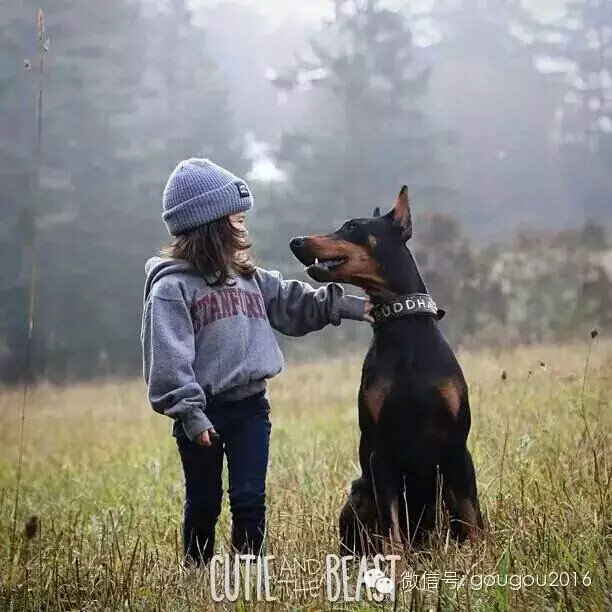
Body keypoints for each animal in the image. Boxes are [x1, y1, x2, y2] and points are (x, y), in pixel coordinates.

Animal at [290, 186, 486, 556]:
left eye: (352, 226)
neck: (402, 329)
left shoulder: (457, 444)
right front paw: (397, 567)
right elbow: (391, 529)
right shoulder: (379, 450)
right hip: (359, 491)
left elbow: (473, 520)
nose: (296, 241)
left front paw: (485, 560)